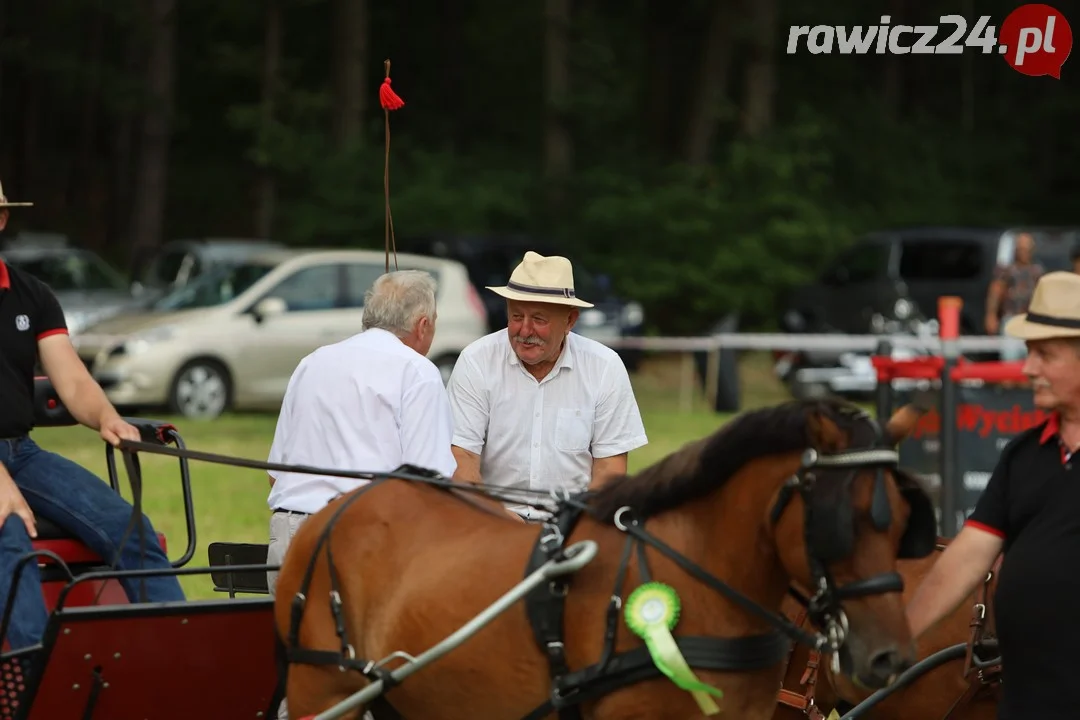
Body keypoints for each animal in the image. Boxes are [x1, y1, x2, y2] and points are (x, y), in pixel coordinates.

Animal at [276, 399, 937, 720]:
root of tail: (340, 505)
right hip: (322, 691)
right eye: (839, 521)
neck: (699, 582)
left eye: (905, 517)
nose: (890, 657)